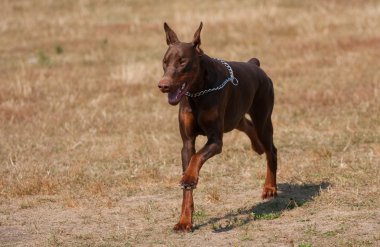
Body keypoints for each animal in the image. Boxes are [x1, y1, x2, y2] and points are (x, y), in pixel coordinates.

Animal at [156, 22, 278, 232]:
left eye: (182, 61)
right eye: (165, 61)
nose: (163, 85)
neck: (198, 92)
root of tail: (254, 65)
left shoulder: (215, 140)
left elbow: (197, 158)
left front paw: (189, 178)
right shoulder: (187, 142)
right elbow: (189, 166)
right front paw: (184, 221)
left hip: (263, 117)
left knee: (271, 150)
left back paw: (270, 187)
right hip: (234, 116)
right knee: (246, 125)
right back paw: (257, 147)